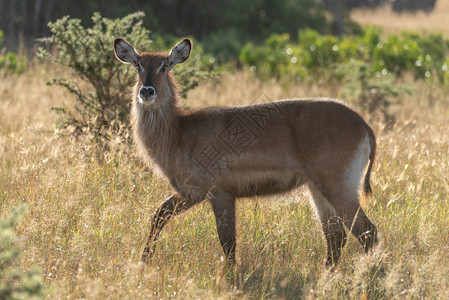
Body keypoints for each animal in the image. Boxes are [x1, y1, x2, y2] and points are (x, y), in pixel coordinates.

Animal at [113, 37, 378, 268]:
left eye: (164, 65)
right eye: (138, 65)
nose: (147, 91)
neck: (181, 132)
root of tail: (364, 125)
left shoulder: (220, 192)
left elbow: (227, 242)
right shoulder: (190, 193)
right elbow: (158, 214)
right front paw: (143, 261)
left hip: (338, 186)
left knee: (367, 232)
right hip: (317, 188)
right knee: (336, 237)